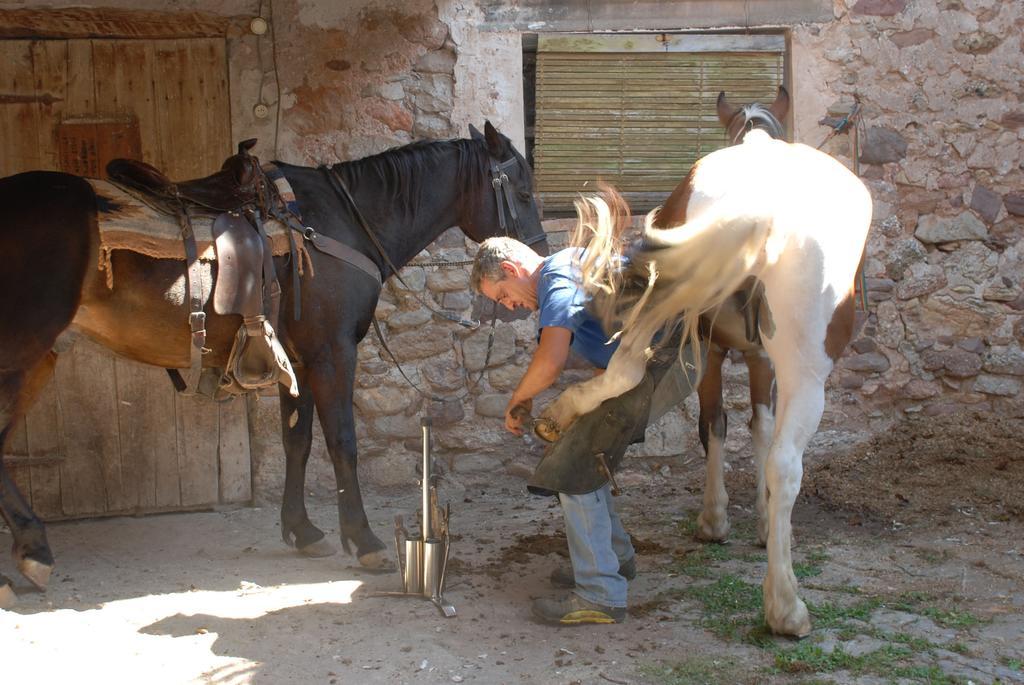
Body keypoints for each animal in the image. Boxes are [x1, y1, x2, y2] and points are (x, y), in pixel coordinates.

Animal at [2, 122, 552, 597]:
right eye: (524, 193)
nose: (537, 258)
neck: (339, 223)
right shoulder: (332, 354)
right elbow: (342, 443)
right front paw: (363, 540)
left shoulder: (301, 360)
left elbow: (298, 442)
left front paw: (302, 531)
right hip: (21, 355)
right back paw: (35, 552)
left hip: (38, 359)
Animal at [544, 89, 872, 634]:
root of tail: (761, 207)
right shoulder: (743, 354)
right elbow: (739, 427)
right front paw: (728, 520)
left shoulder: (733, 350)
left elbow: (734, 425)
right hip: (790, 366)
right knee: (784, 461)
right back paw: (785, 605)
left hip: (677, 309)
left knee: (627, 368)